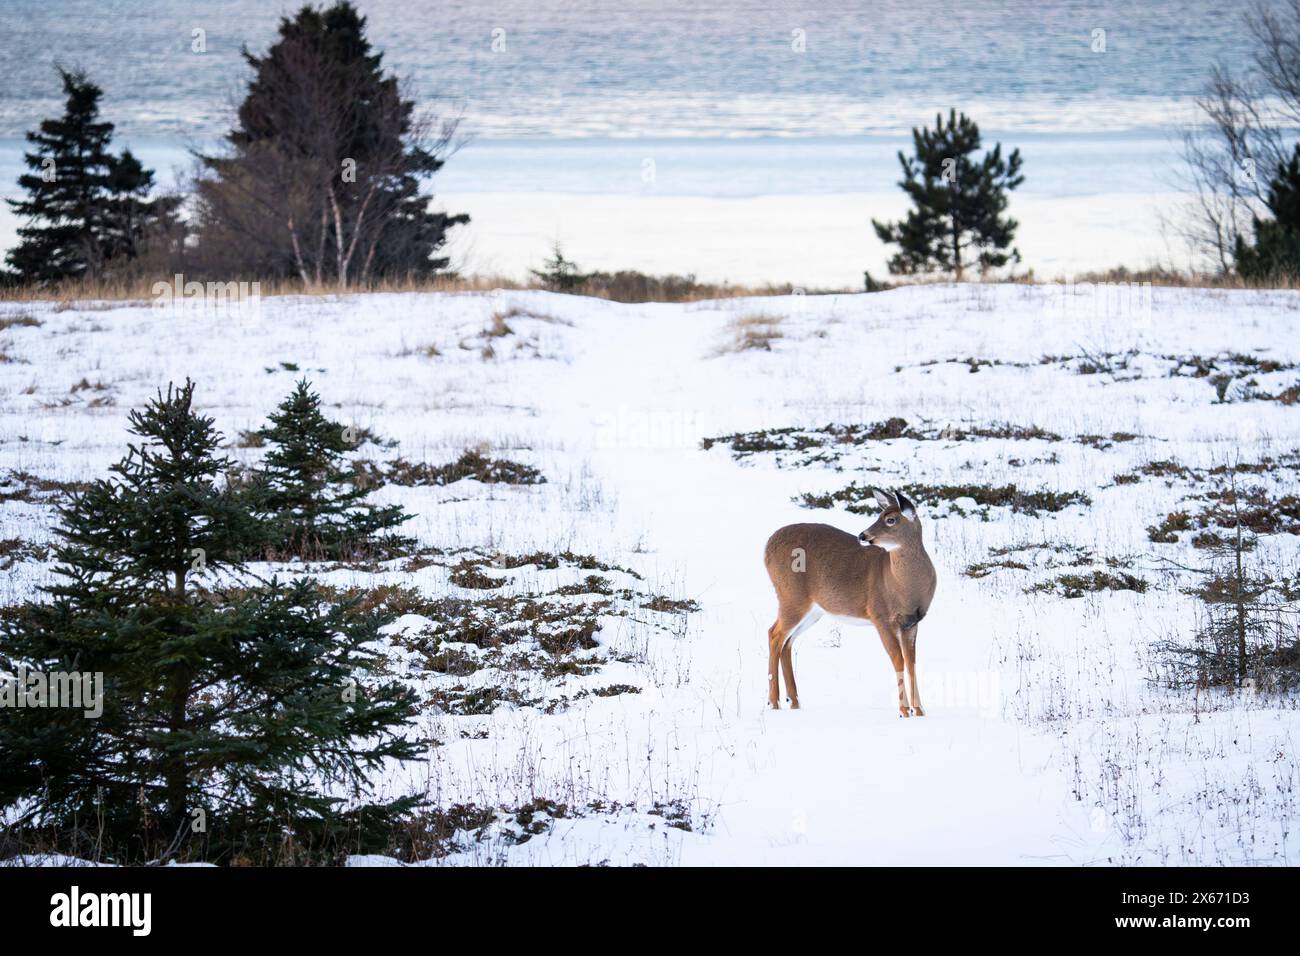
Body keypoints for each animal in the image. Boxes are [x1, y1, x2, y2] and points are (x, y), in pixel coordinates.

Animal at [759, 489, 935, 712]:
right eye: (879, 515)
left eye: (890, 519)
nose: (862, 535)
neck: (903, 586)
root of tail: (767, 545)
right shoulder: (880, 616)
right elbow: (898, 659)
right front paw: (904, 711)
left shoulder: (911, 622)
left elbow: (911, 662)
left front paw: (919, 711)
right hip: (791, 596)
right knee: (774, 634)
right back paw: (773, 702)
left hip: (813, 610)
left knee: (787, 642)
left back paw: (794, 701)